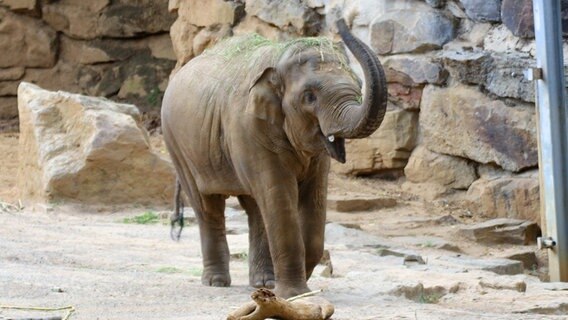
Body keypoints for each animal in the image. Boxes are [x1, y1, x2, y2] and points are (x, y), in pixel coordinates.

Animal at [162, 19, 388, 300]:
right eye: (309, 96)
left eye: (359, 84)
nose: (340, 23)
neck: (279, 57)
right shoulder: (248, 128)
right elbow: (279, 194)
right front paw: (293, 295)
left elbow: (313, 200)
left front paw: (293, 289)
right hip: (177, 146)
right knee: (207, 206)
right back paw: (216, 282)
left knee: (256, 209)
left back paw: (264, 283)